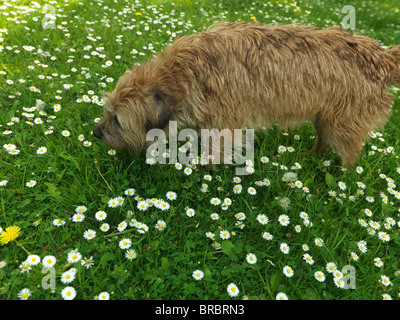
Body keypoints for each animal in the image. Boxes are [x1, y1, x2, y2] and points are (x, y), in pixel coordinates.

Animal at [93, 20, 400, 168]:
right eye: (107, 111)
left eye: (118, 119)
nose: (95, 133)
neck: (182, 75)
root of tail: (381, 56)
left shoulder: (224, 123)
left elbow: (215, 151)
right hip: (325, 115)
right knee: (323, 139)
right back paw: (312, 156)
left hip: (344, 123)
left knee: (350, 155)